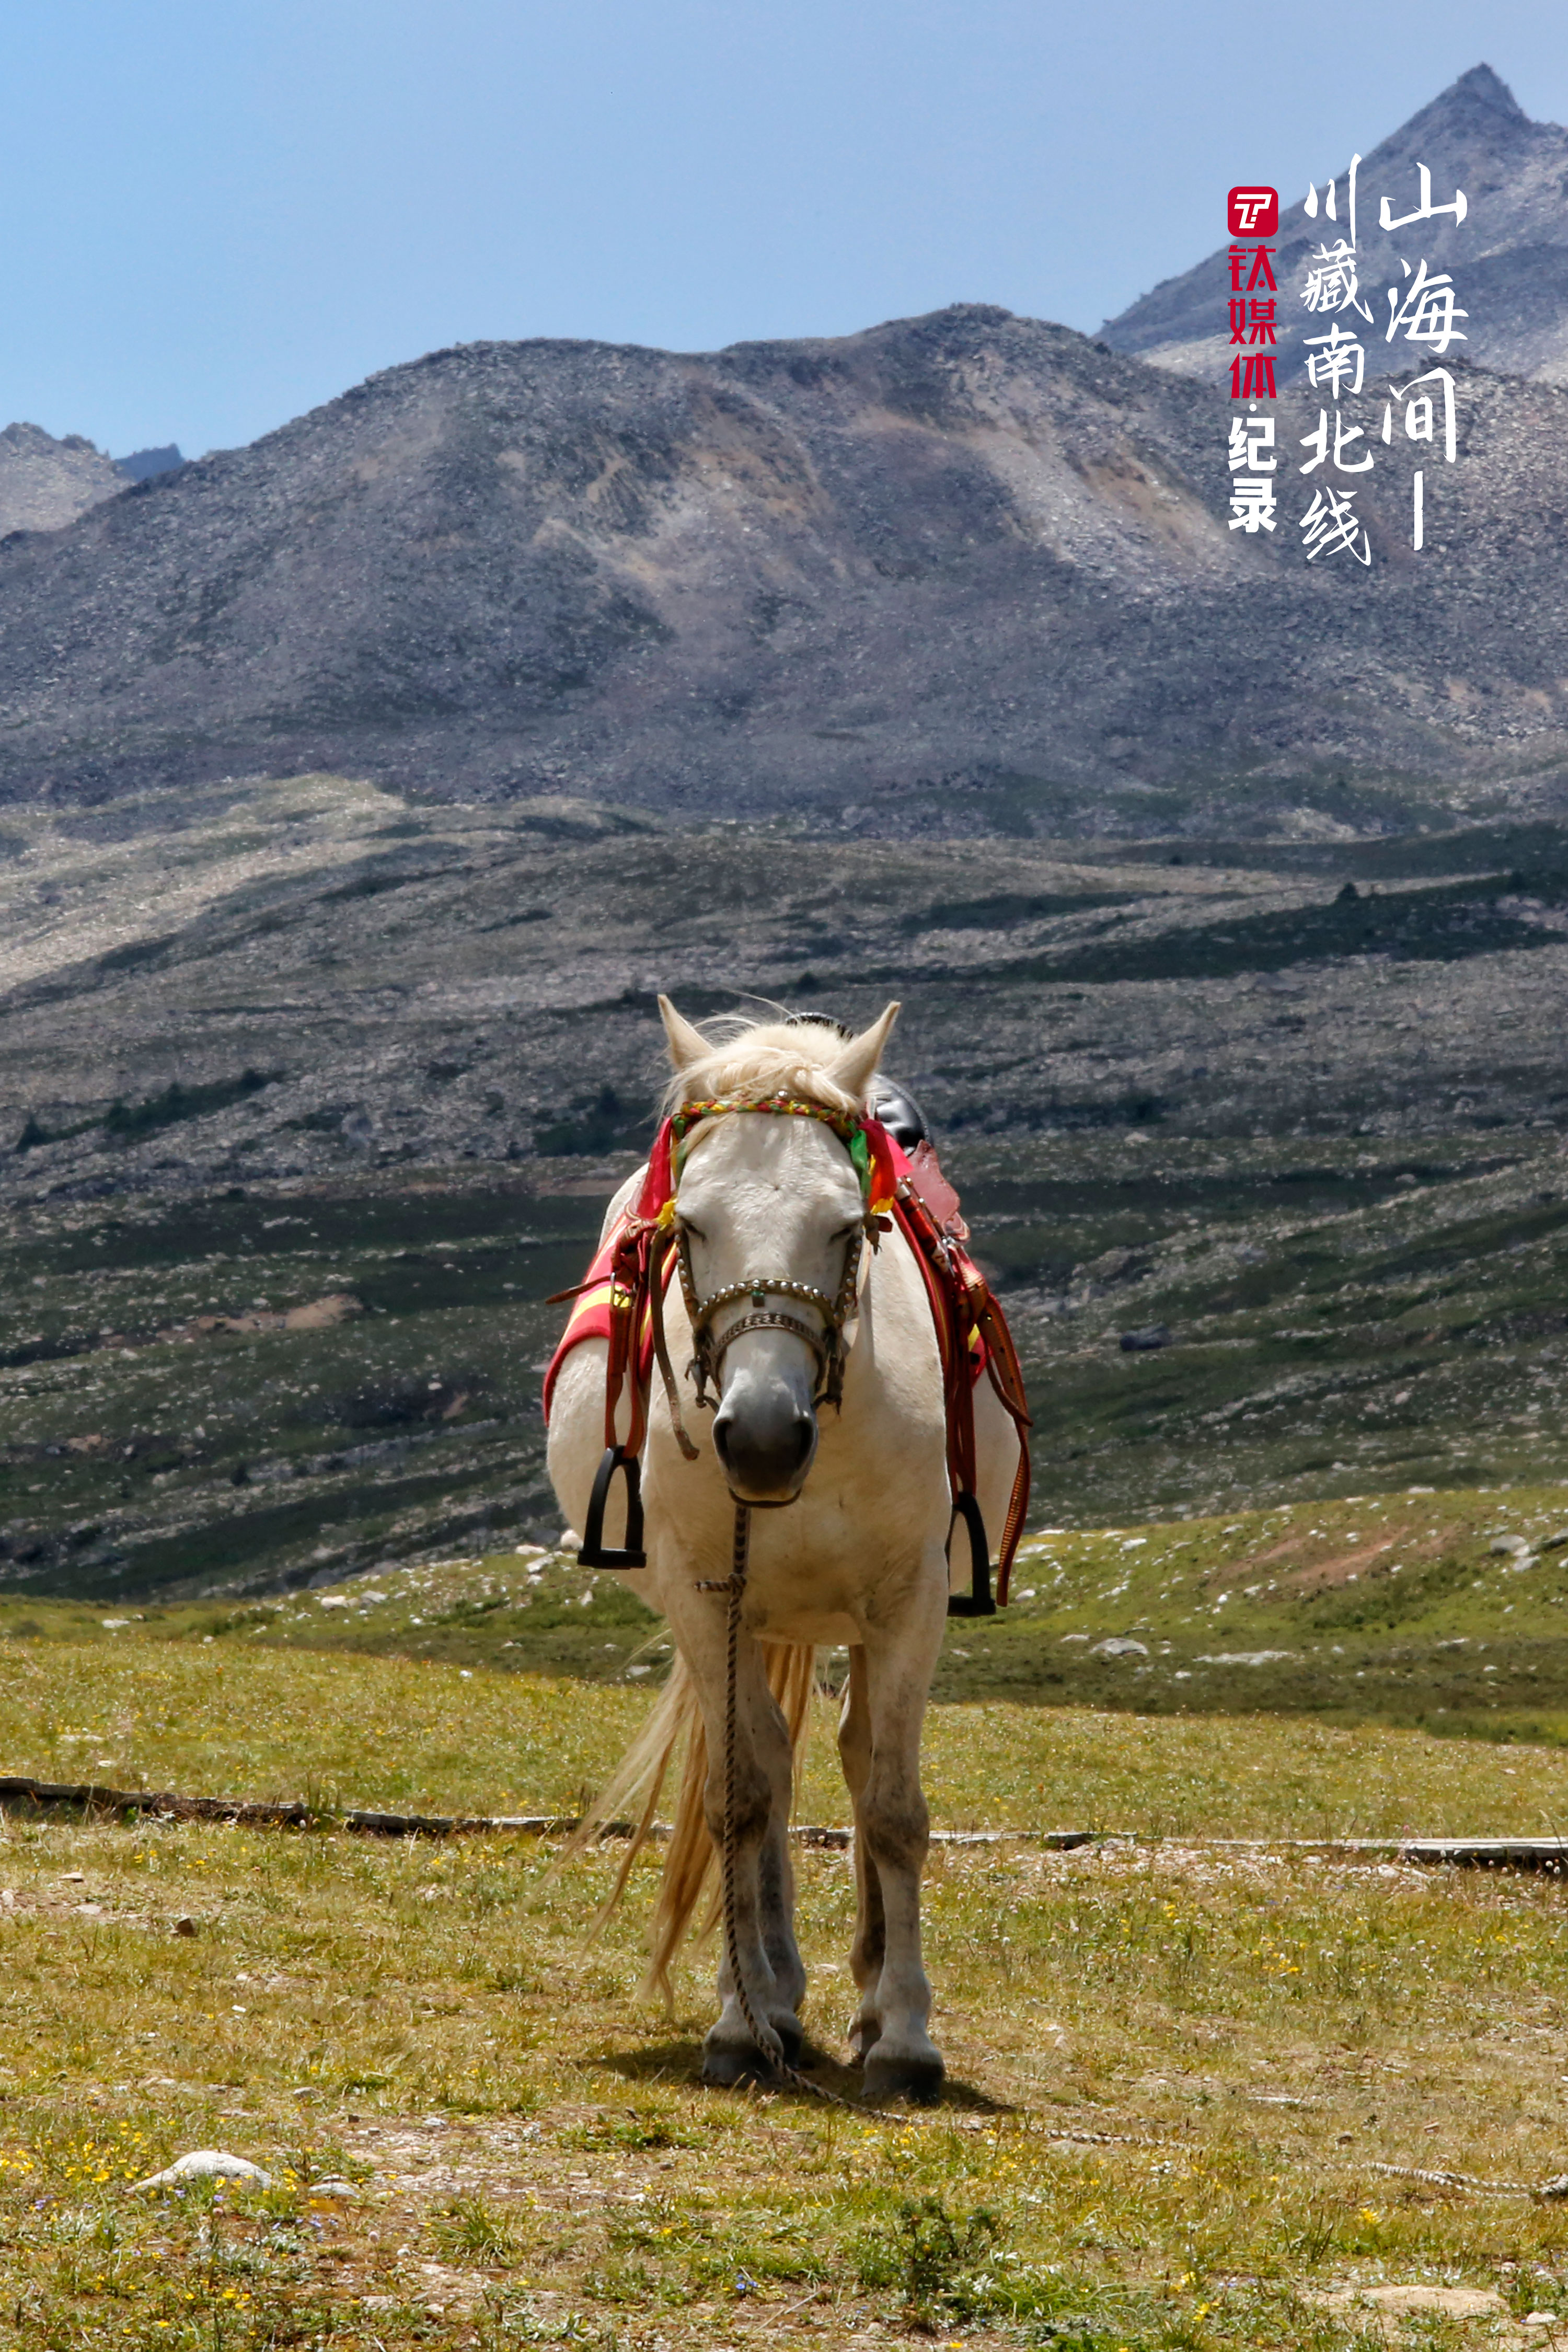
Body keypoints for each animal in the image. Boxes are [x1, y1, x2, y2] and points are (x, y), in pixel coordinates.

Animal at [545, 998, 1026, 2104]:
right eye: (691, 1224)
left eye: (849, 1227)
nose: (762, 1439)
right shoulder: (702, 1596)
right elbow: (741, 1800)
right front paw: (744, 2017)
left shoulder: (911, 1601)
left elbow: (891, 1806)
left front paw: (905, 2038)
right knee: (765, 1776)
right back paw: (780, 2001)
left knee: (847, 1760)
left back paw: (858, 1996)